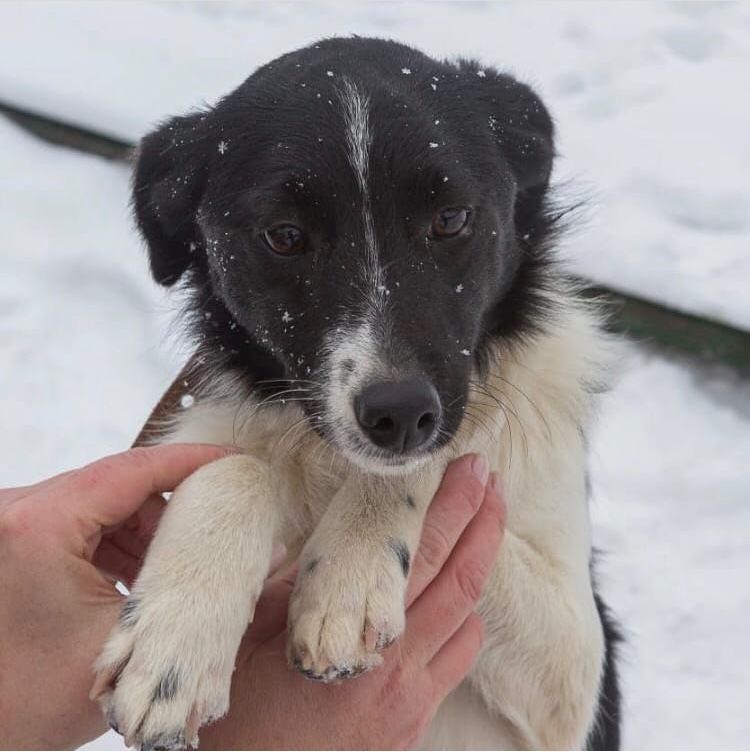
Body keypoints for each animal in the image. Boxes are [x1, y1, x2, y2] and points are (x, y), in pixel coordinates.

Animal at [92, 38, 624, 748]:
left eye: (450, 219)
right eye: (285, 235)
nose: (399, 413)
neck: (328, 466)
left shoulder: (577, 667)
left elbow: (437, 457)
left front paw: (348, 576)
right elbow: (238, 469)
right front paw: (173, 639)